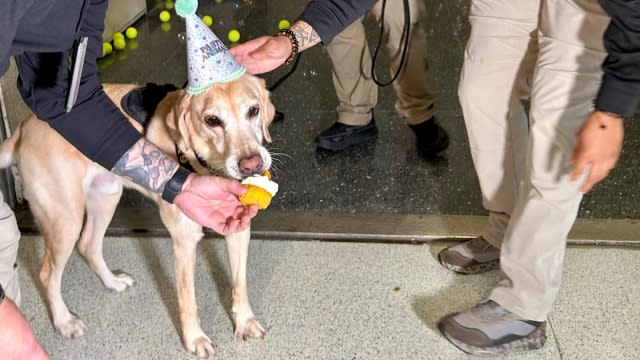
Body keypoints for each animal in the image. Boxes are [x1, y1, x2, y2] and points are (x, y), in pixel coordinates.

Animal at [0, 76, 272, 358]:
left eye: (253, 110)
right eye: (212, 120)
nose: (251, 164)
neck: (207, 164)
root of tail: (22, 128)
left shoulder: (239, 229)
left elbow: (239, 283)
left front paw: (245, 322)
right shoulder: (184, 241)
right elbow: (188, 299)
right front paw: (194, 339)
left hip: (106, 197)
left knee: (88, 245)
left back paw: (112, 282)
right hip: (65, 221)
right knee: (47, 274)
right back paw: (64, 321)